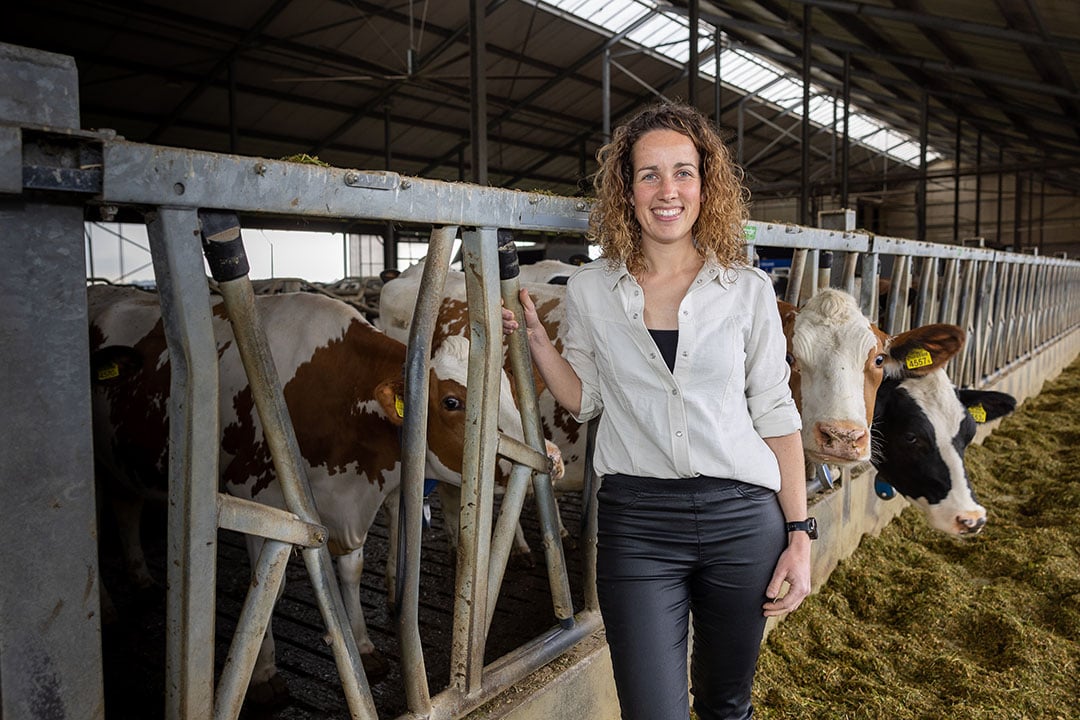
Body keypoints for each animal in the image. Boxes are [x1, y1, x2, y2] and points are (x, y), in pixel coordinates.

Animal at [87, 284, 531, 703]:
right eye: (452, 401)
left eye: (510, 389)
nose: (543, 451)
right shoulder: (257, 499)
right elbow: (269, 586)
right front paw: (263, 675)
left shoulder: (351, 500)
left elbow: (351, 570)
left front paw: (363, 647)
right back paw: (106, 610)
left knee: (125, 506)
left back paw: (141, 580)